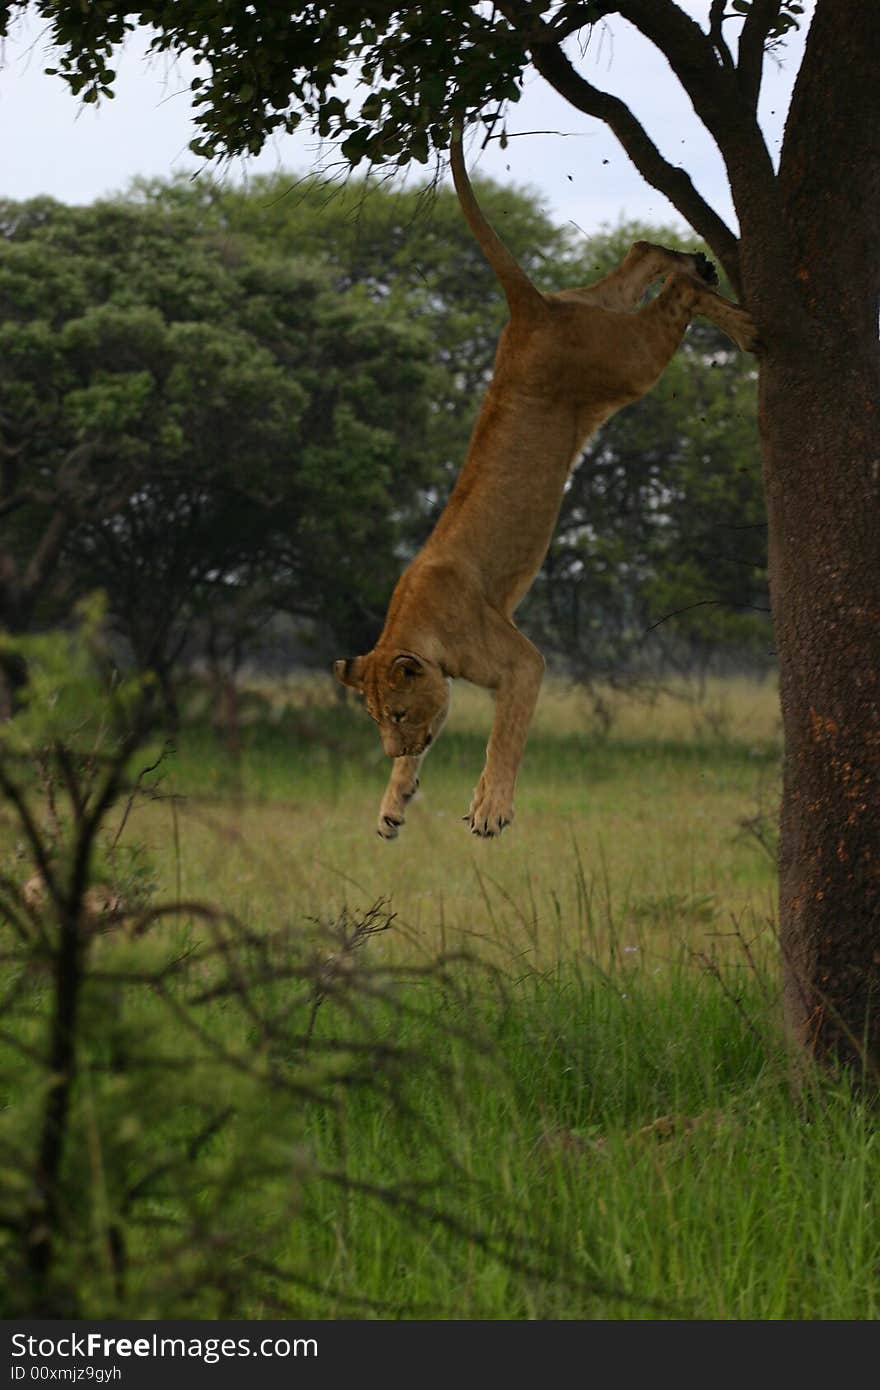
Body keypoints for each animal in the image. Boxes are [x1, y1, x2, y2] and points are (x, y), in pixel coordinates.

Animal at [332, 125, 756, 834]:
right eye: (375, 719)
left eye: (396, 713)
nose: (393, 746)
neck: (418, 624)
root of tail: (529, 307)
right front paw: (394, 801)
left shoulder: (521, 661)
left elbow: (505, 733)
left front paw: (490, 809)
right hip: (603, 323)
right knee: (639, 257)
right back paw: (692, 262)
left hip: (628, 363)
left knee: (677, 303)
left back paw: (735, 314)